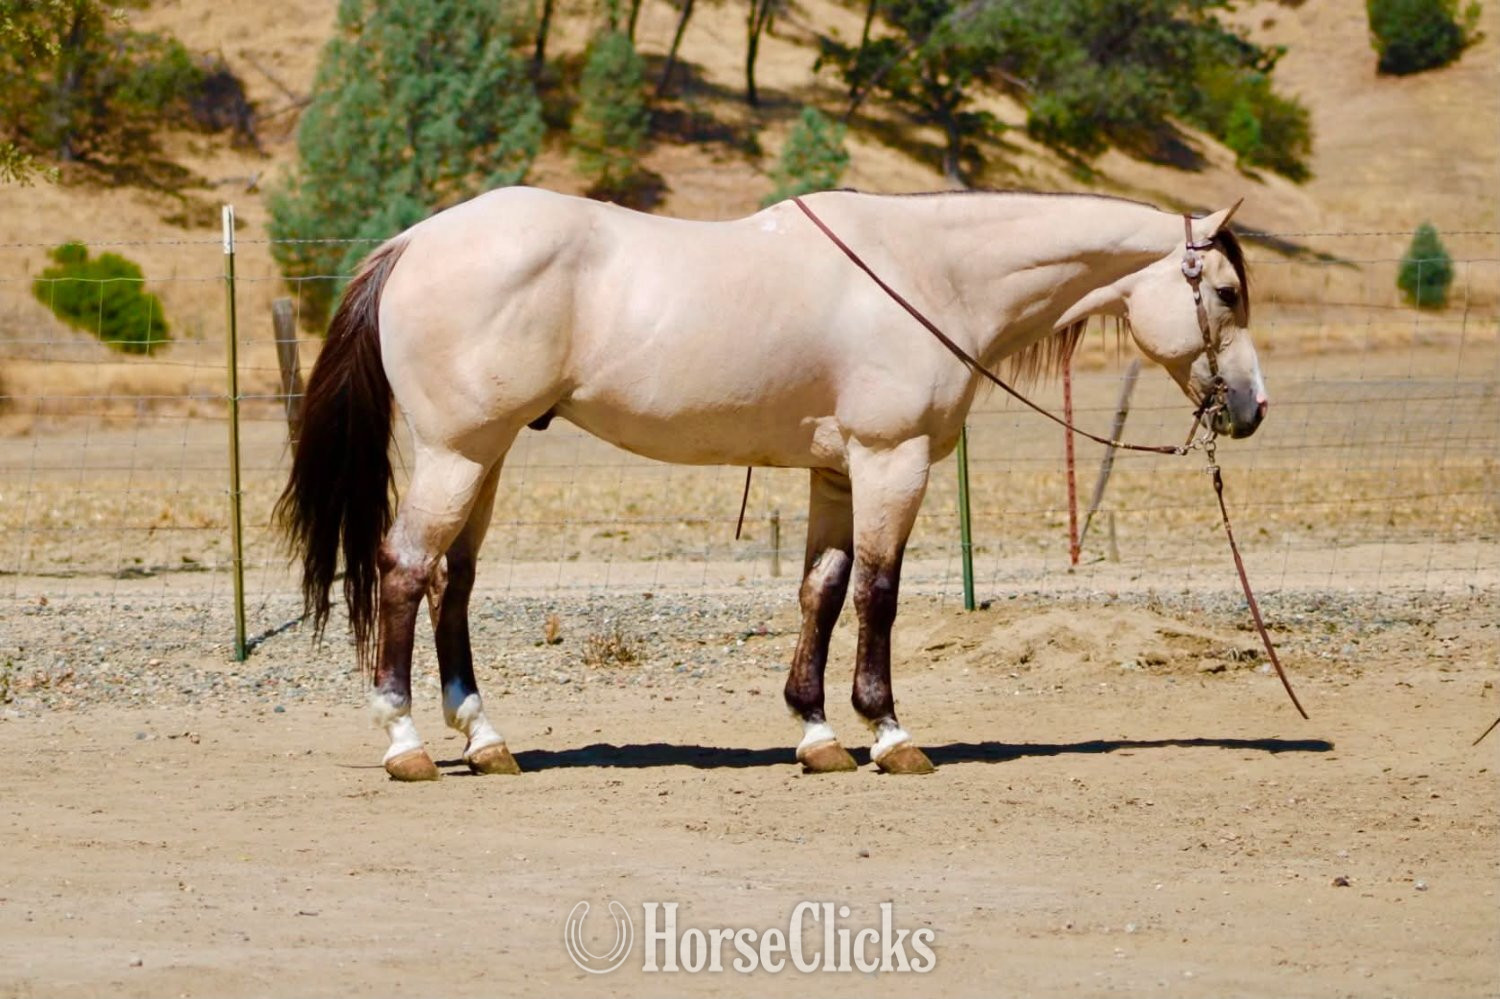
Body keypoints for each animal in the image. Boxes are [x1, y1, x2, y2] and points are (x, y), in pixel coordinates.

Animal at [276, 186, 1265, 781]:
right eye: (1224, 291)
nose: (1252, 407)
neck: (930, 274)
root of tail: (412, 241)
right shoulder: (890, 459)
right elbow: (877, 592)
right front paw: (889, 732)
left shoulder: (836, 471)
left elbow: (820, 590)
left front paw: (817, 733)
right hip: (457, 453)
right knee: (406, 570)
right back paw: (405, 741)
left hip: (485, 457)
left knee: (454, 584)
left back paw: (486, 740)